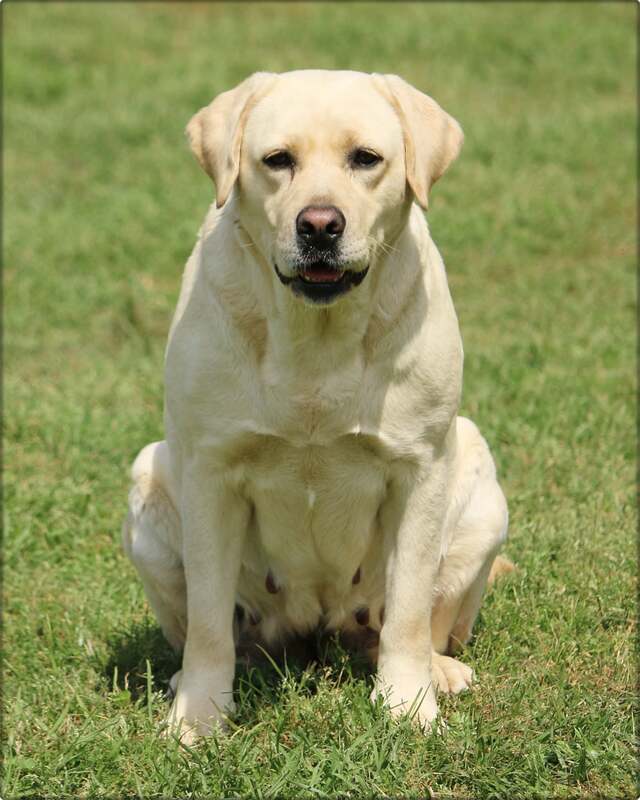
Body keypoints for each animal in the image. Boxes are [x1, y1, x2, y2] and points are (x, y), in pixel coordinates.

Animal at [121, 70, 510, 744]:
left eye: (366, 159)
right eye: (278, 160)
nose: (321, 225)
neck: (316, 336)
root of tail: (318, 626)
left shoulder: (419, 468)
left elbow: (410, 607)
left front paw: (406, 703)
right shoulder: (210, 472)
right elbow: (207, 621)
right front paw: (199, 716)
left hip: (481, 489)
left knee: (416, 621)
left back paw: (438, 670)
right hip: (150, 489)